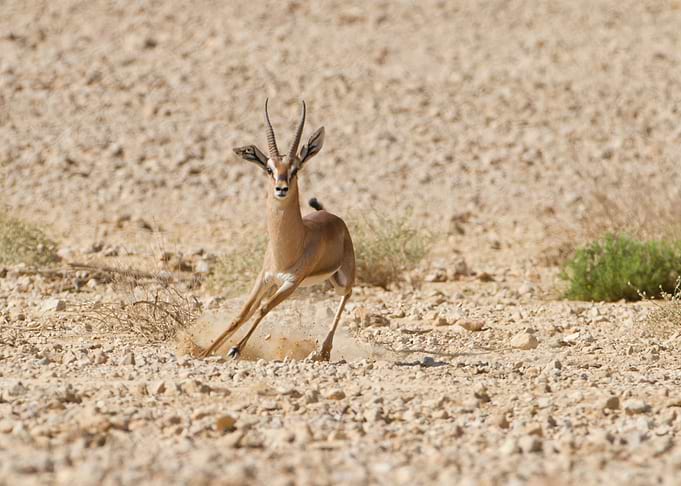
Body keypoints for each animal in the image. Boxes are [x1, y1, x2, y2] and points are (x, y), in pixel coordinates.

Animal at [200, 99, 355, 361]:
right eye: (269, 169)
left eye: (296, 169)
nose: (281, 188)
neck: (291, 248)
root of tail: (334, 218)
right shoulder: (264, 277)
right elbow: (240, 314)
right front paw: (206, 350)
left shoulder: (291, 283)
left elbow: (263, 309)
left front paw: (235, 349)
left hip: (342, 278)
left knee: (348, 294)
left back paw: (323, 351)